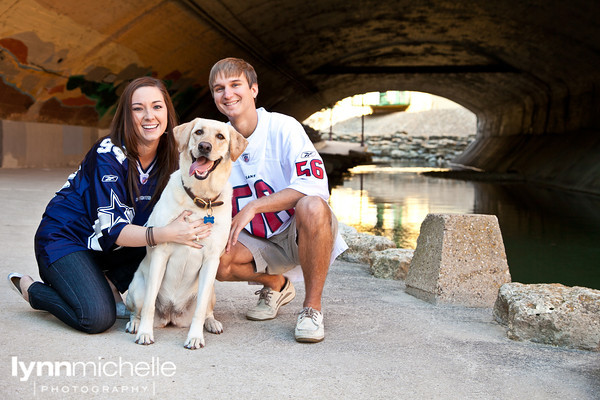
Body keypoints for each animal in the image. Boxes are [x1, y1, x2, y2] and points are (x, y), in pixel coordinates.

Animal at [125, 117, 247, 348]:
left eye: (220, 136)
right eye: (198, 132)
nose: (204, 147)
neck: (201, 199)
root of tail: (171, 315)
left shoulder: (211, 260)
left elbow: (200, 310)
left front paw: (195, 337)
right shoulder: (161, 254)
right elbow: (149, 305)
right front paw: (145, 332)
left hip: (211, 291)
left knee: (206, 310)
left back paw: (212, 323)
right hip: (136, 288)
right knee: (138, 309)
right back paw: (135, 324)